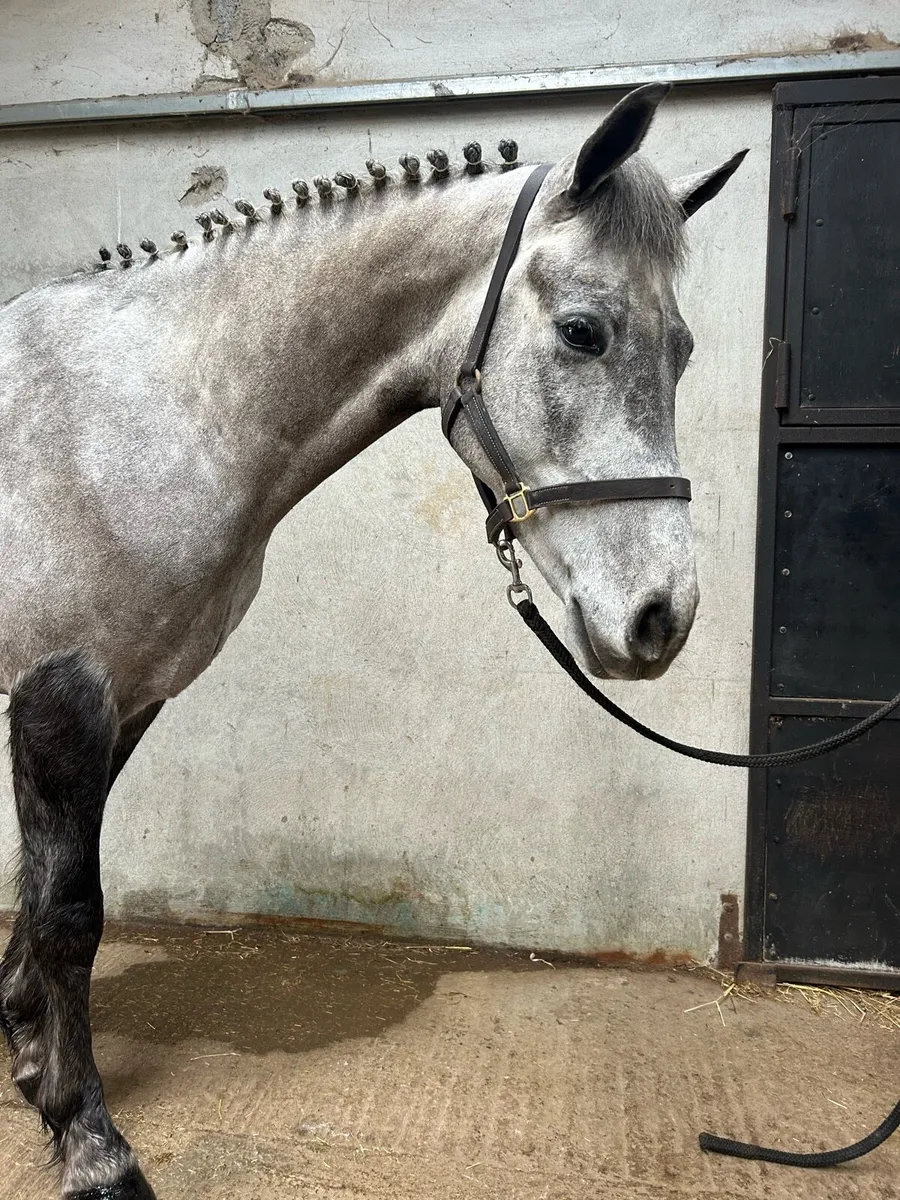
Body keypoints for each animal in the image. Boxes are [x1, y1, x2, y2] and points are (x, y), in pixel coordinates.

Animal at [0, 82, 744, 1199]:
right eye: (584, 333)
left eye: (686, 347)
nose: (662, 617)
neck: (136, 416)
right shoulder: (61, 696)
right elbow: (69, 913)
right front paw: (89, 1139)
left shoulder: (125, 701)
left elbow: (40, 893)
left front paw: (31, 1059)